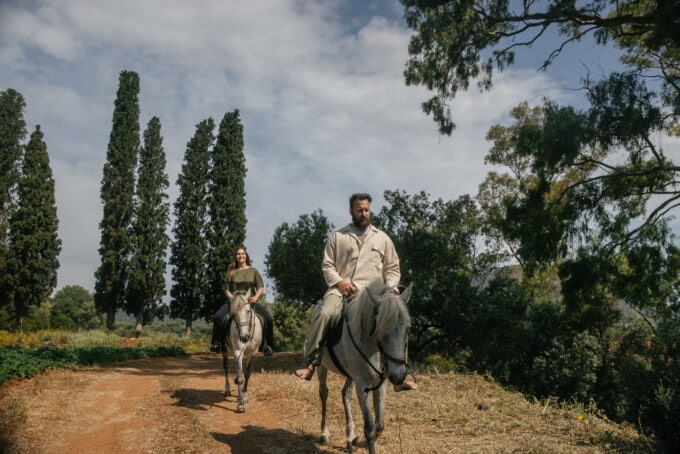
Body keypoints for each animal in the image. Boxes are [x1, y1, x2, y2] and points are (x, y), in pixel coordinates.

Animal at [316, 278, 412, 452]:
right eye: (380, 329)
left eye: (407, 328)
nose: (398, 376)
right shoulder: (362, 384)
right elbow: (369, 428)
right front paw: (363, 442)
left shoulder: (379, 383)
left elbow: (379, 425)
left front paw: (357, 441)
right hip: (322, 368)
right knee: (324, 393)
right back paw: (325, 434)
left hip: (349, 374)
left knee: (345, 395)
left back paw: (349, 438)